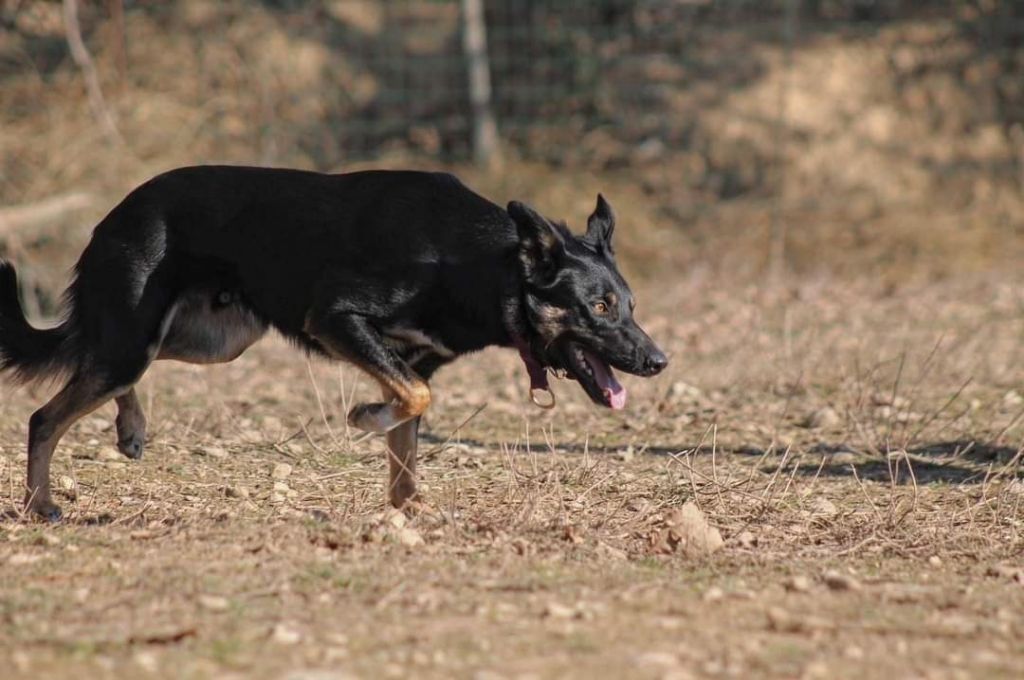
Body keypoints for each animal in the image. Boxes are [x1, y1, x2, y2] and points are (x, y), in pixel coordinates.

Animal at [0, 166, 667, 518]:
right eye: (599, 307)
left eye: (630, 306)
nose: (658, 361)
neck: (475, 263)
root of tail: (113, 214)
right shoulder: (337, 318)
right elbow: (410, 399)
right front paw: (364, 415)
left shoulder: (410, 360)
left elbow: (408, 441)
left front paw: (404, 514)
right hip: (134, 339)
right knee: (44, 416)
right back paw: (40, 506)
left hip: (206, 339)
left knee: (104, 374)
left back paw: (130, 429)